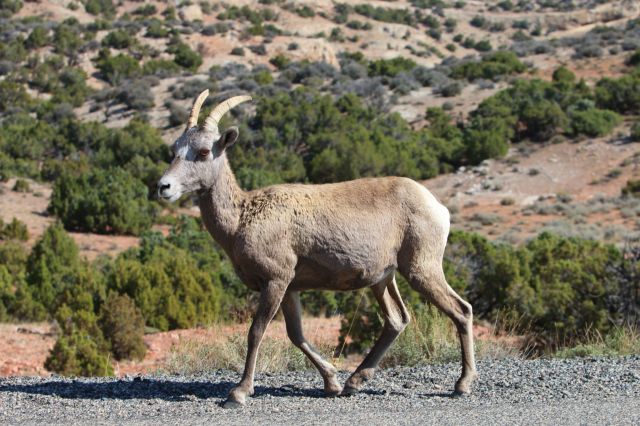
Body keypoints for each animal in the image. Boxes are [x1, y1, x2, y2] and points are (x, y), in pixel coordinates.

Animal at [157, 91, 477, 408]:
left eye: (203, 152)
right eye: (175, 148)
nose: (164, 187)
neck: (241, 218)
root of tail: (438, 208)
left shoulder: (275, 280)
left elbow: (256, 332)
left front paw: (238, 393)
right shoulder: (290, 287)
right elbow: (295, 334)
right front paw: (332, 383)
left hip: (422, 268)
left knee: (461, 310)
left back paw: (462, 384)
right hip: (384, 279)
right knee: (397, 321)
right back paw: (353, 383)